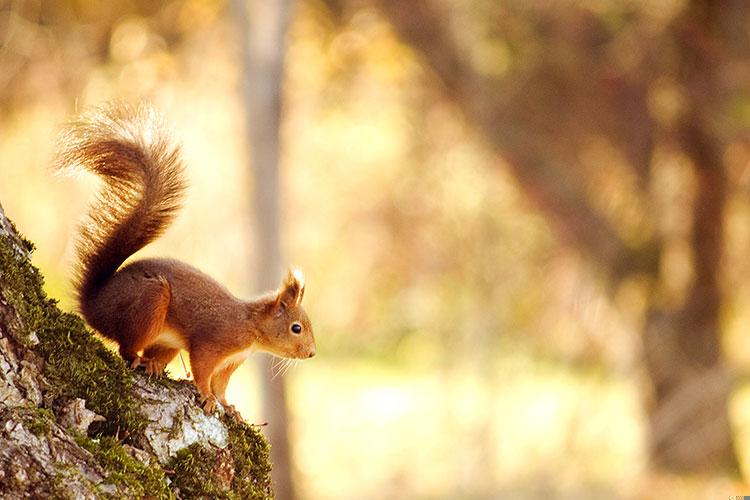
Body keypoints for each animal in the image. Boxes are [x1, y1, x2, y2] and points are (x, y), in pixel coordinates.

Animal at [56, 102, 318, 418]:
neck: (250, 327)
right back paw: (139, 360)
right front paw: (206, 396)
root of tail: (93, 304)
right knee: (126, 348)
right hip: (148, 303)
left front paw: (229, 406)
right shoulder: (214, 343)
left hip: (165, 339)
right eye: (296, 328)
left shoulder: (231, 361)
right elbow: (203, 370)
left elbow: (222, 384)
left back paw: (154, 364)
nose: (312, 353)